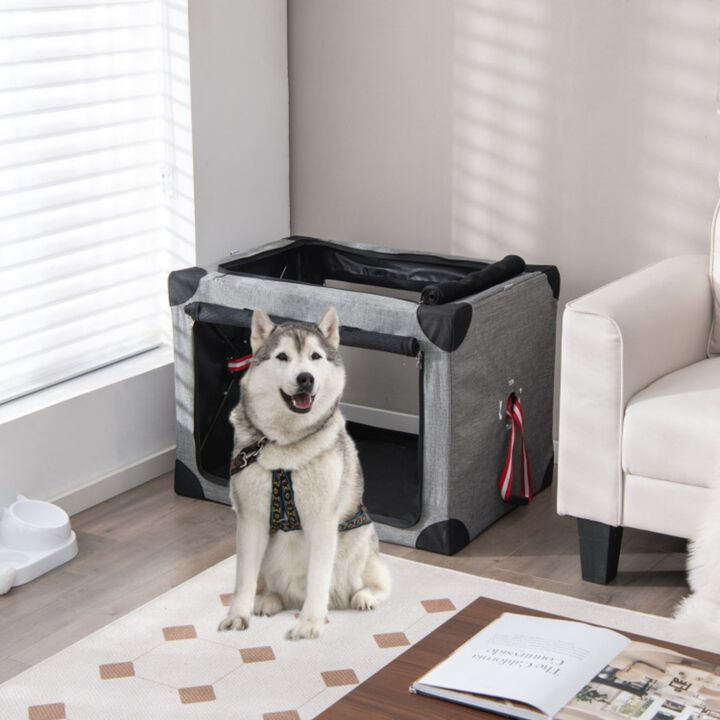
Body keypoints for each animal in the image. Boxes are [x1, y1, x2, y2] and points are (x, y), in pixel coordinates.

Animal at [218, 306, 390, 640]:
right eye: (282, 357)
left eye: (315, 356)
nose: (305, 378)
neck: (285, 446)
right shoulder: (250, 520)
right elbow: (243, 580)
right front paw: (238, 615)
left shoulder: (321, 521)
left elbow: (318, 577)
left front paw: (310, 621)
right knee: (273, 588)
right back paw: (269, 601)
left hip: (360, 539)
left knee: (377, 580)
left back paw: (364, 596)